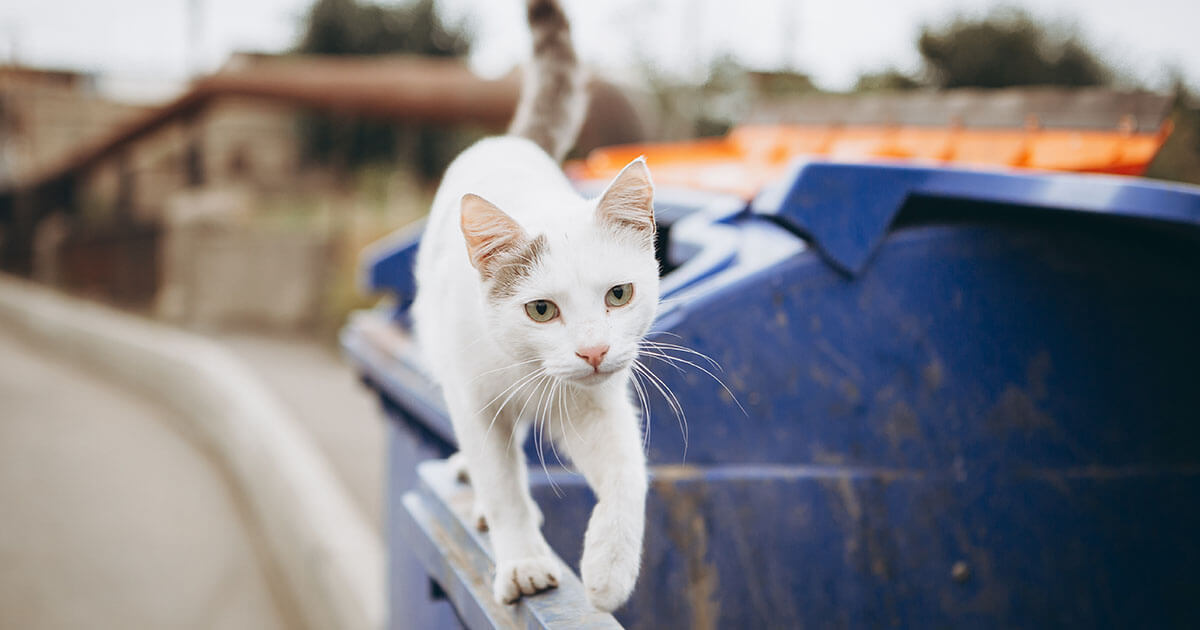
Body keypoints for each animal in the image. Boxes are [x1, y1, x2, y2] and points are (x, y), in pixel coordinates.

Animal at [410, 0, 657, 612]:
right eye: (541, 311)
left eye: (619, 295)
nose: (593, 352)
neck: (528, 372)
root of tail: (511, 141)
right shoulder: (474, 402)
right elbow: (503, 486)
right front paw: (523, 561)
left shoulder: (597, 406)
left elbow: (627, 473)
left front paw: (609, 568)